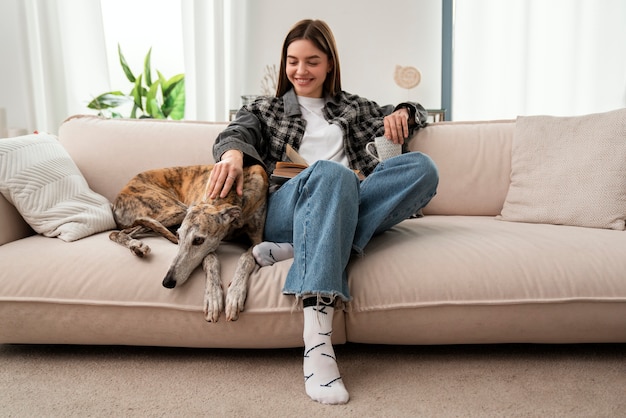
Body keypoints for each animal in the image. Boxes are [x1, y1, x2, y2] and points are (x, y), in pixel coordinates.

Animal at [108, 165, 268, 322]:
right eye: (179, 236)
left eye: (198, 240)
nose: (167, 282)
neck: (233, 192)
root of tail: (116, 202)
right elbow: (210, 259)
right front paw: (213, 296)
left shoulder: (258, 240)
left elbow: (246, 258)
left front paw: (235, 293)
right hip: (175, 210)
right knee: (117, 232)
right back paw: (136, 245)